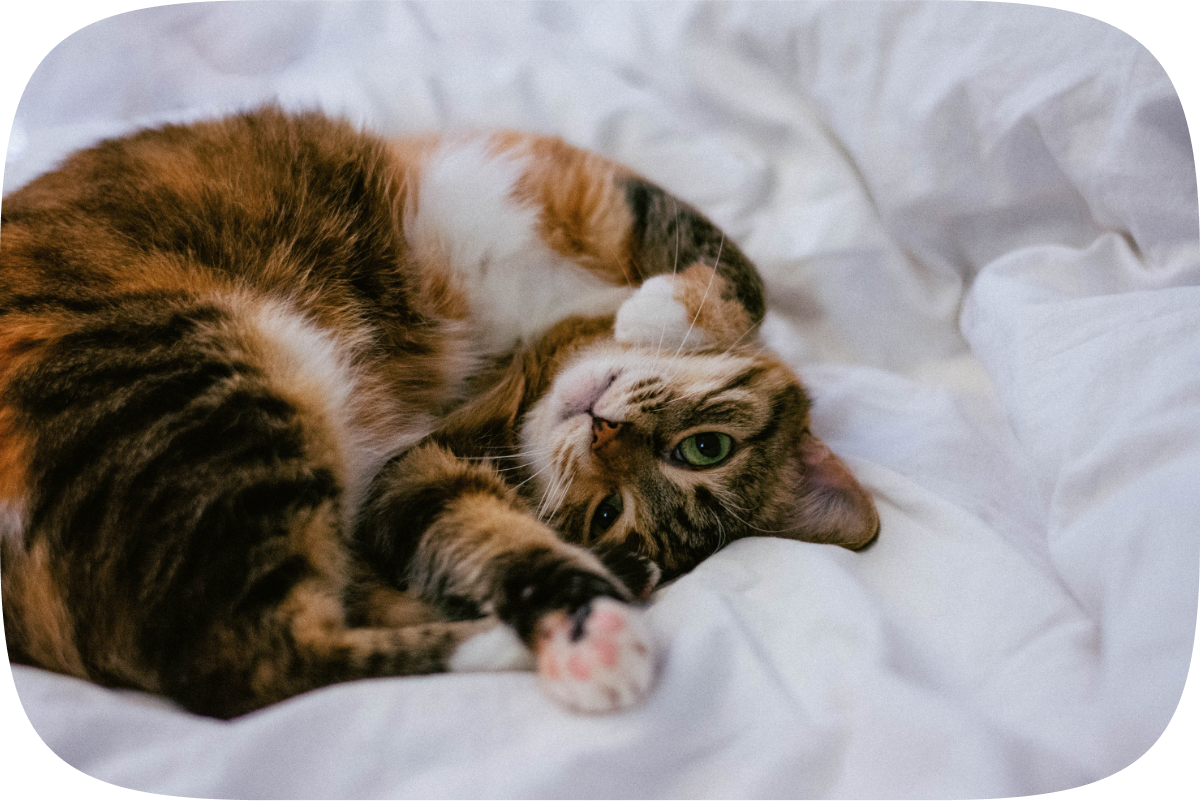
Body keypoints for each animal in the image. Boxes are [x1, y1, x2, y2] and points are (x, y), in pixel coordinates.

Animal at [2, 107, 883, 719]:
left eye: (607, 511)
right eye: (705, 448)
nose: (605, 429)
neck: (551, 334)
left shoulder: (415, 465)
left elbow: (477, 532)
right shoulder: (582, 185)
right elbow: (738, 268)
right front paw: (664, 312)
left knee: (253, 661)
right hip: (208, 380)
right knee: (245, 665)